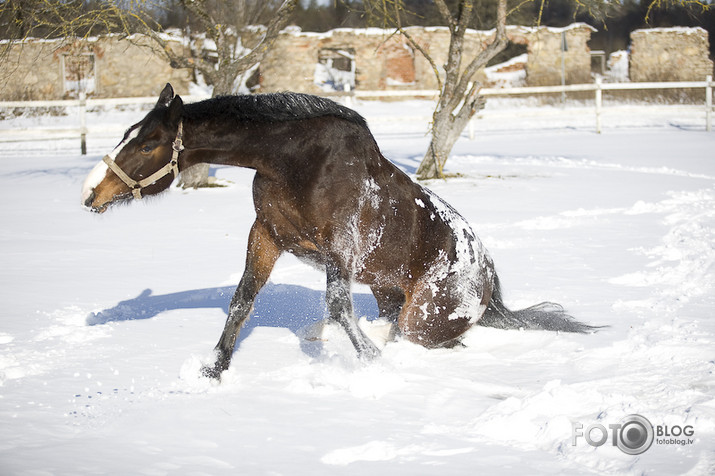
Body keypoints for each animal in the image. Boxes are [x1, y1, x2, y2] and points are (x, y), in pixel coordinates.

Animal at [82, 82, 600, 380]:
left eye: (147, 144)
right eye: (128, 133)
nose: (91, 193)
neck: (295, 161)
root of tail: (487, 277)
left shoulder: (341, 248)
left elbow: (337, 306)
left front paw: (371, 364)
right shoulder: (266, 235)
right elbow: (242, 300)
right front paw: (214, 369)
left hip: (424, 318)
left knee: (426, 339)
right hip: (389, 294)